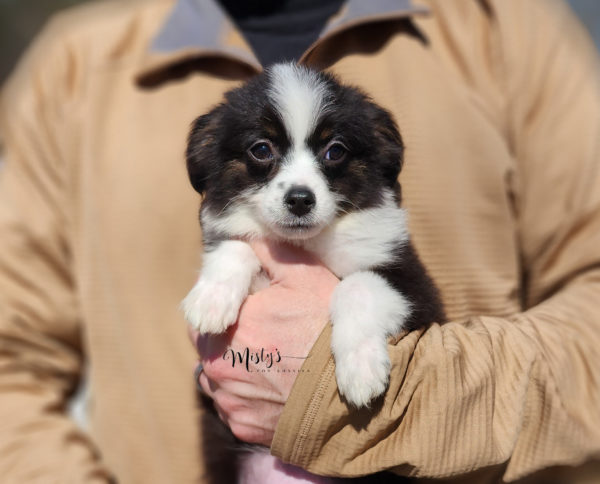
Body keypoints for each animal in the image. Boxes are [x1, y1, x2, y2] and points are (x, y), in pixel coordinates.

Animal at [180, 63, 442, 480]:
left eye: (334, 151)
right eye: (261, 149)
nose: (300, 200)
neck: (307, 246)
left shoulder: (415, 285)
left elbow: (357, 285)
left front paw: (361, 370)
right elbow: (236, 245)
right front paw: (211, 300)